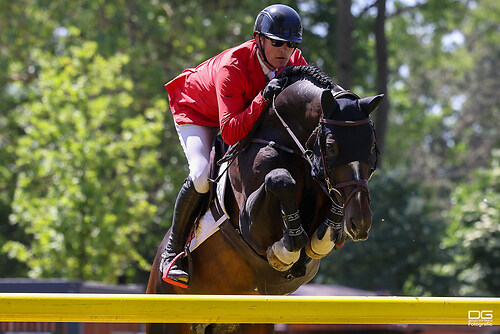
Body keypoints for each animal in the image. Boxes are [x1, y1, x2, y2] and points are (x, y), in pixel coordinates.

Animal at [146, 65, 384, 334]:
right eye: (332, 146)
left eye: (371, 144)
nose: (360, 222)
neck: (286, 141)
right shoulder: (251, 227)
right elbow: (279, 179)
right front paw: (285, 249)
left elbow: (322, 233)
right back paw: (173, 263)